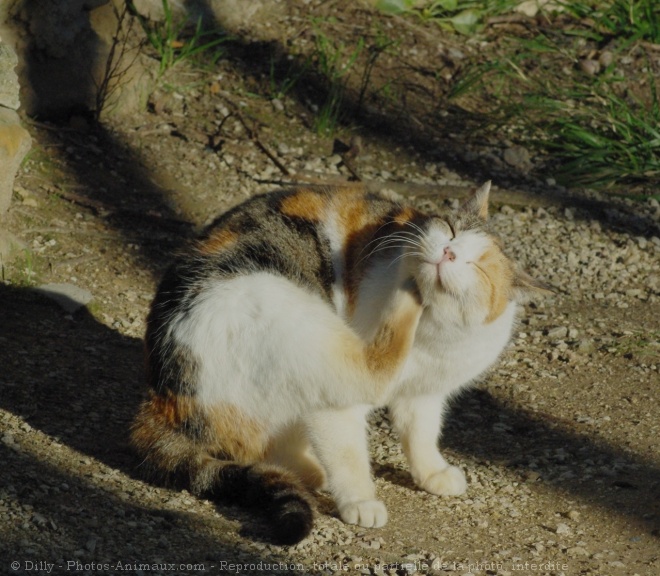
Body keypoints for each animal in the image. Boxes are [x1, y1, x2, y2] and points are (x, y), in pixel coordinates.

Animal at [131, 181, 548, 544]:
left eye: (478, 267)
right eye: (450, 229)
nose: (447, 253)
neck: (431, 336)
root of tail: (162, 396)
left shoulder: (425, 395)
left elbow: (421, 434)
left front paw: (432, 473)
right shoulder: (336, 406)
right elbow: (348, 452)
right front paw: (361, 500)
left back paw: (306, 468)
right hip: (290, 313)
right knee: (373, 372)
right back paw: (408, 289)